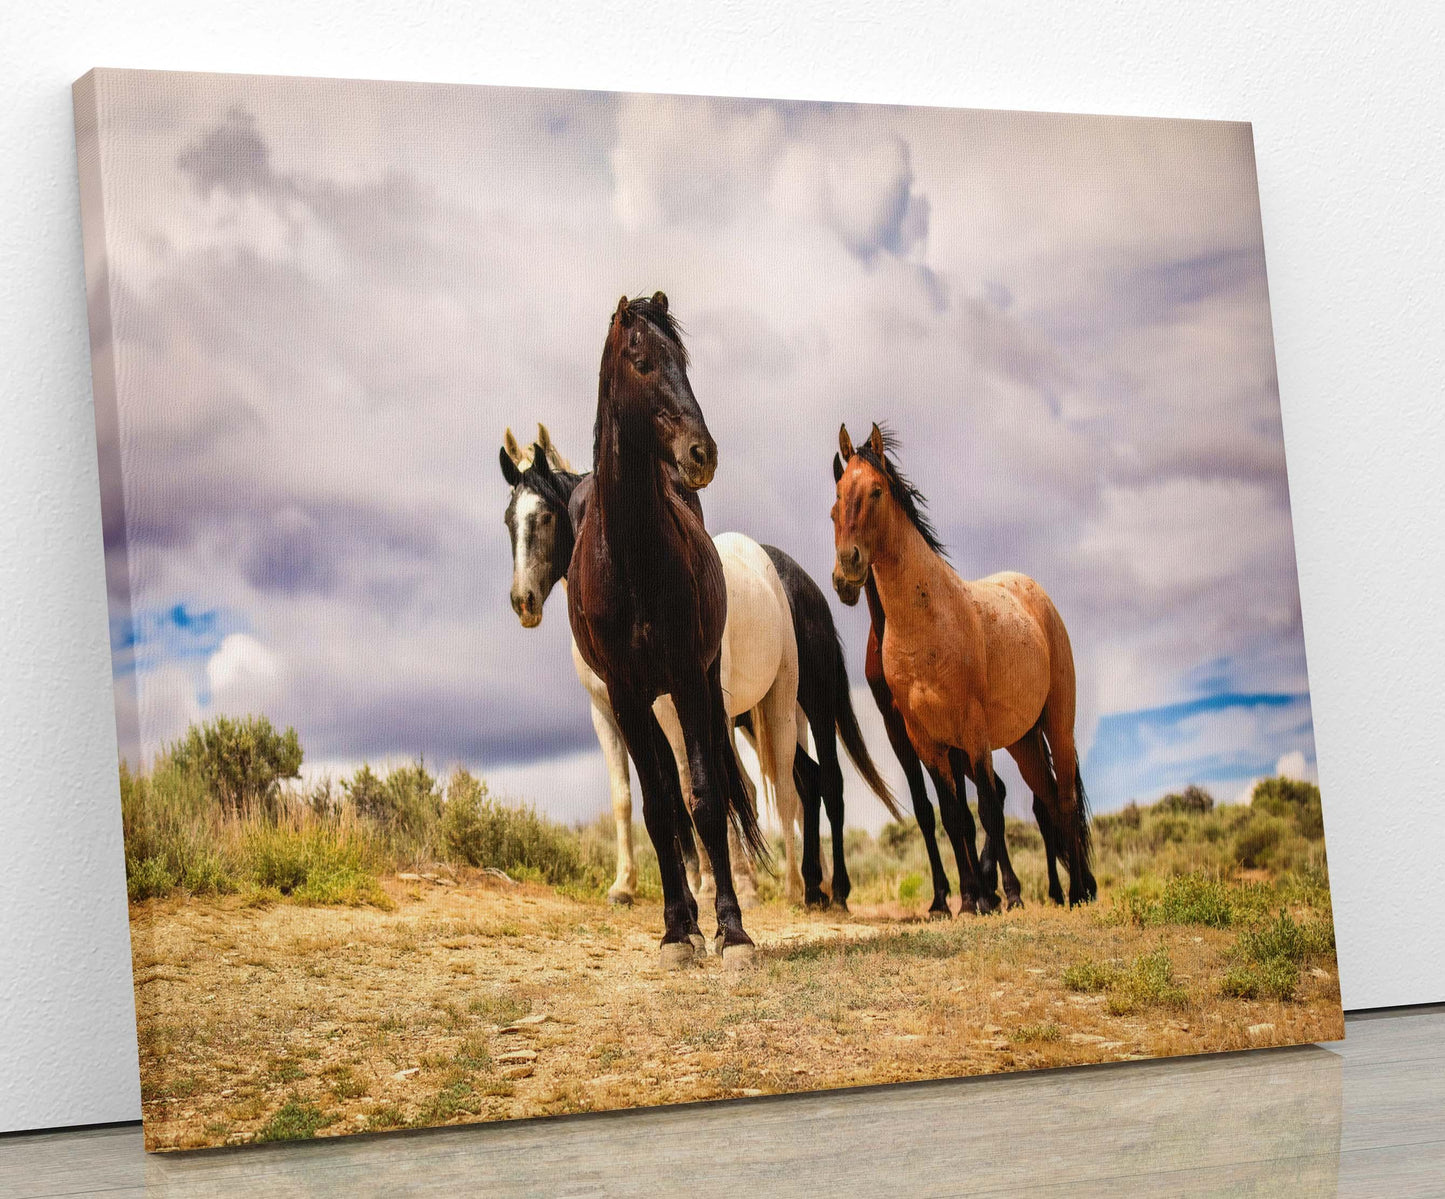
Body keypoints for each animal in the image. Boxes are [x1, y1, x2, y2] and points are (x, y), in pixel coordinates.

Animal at [502, 427, 809, 907]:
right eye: (509, 520)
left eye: (547, 517)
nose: (523, 601)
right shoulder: (608, 711)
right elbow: (630, 796)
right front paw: (626, 884)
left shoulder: (670, 706)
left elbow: (688, 787)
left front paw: (709, 885)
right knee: (748, 787)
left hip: (775, 702)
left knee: (784, 789)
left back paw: (792, 887)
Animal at [566, 296, 774, 970]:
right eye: (643, 361)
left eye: (684, 362)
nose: (701, 453)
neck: (633, 558)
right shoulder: (627, 695)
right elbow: (659, 810)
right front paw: (676, 932)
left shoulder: (685, 678)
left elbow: (705, 799)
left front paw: (732, 932)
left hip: (701, 689)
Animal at [838, 427, 1092, 907]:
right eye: (839, 494)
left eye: (876, 491)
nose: (848, 566)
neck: (925, 623)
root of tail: (1033, 592)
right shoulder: (925, 739)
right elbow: (953, 816)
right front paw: (972, 899)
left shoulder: (972, 731)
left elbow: (989, 812)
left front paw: (1000, 896)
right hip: (1024, 742)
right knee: (1047, 798)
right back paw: (1067, 889)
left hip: (1057, 723)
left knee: (1065, 797)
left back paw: (1080, 891)